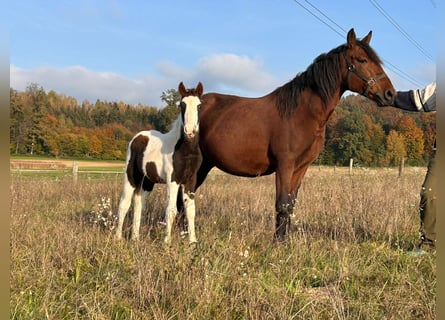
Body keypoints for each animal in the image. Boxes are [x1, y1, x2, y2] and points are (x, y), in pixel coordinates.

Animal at [115, 81, 204, 244]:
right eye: (182, 105)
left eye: (199, 105)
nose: (190, 131)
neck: (186, 150)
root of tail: (137, 137)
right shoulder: (172, 180)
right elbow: (171, 210)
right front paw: (166, 242)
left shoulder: (191, 180)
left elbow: (190, 211)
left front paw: (193, 243)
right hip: (131, 177)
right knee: (124, 204)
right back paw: (117, 238)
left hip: (147, 181)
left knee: (139, 204)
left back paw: (135, 238)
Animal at [194, 28, 396, 241]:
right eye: (362, 60)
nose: (390, 94)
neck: (300, 113)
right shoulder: (285, 165)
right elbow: (281, 204)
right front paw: (277, 243)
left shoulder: (301, 168)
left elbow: (290, 206)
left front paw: (284, 242)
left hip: (205, 164)